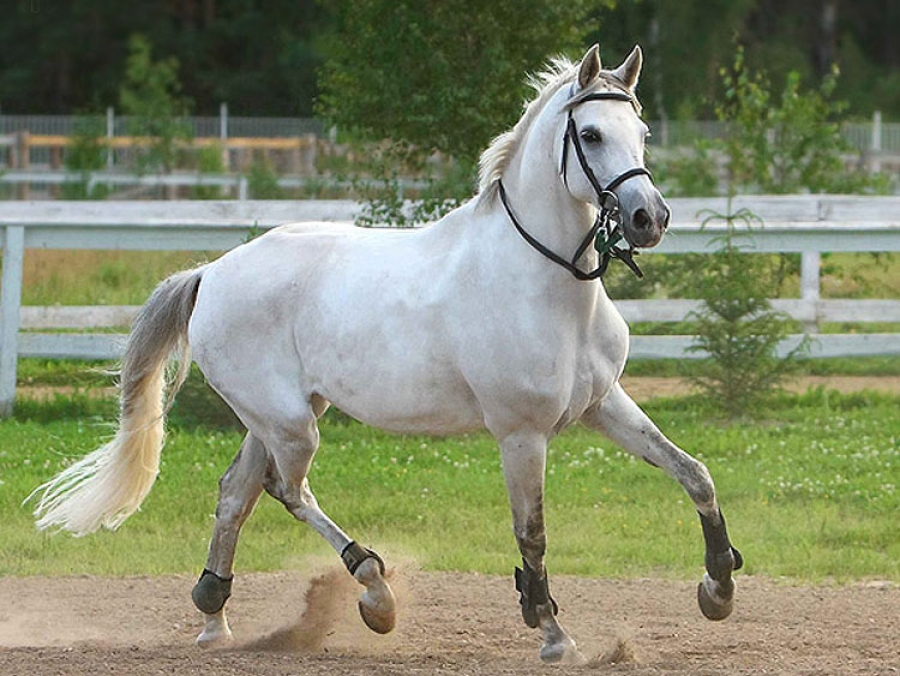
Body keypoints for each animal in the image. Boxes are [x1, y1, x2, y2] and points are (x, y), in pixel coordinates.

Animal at [33, 45, 740, 664]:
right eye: (589, 135)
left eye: (642, 132)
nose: (650, 218)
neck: (548, 285)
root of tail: (212, 273)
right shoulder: (521, 434)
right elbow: (532, 534)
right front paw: (552, 635)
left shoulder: (604, 406)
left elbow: (695, 473)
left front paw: (718, 589)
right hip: (291, 423)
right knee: (285, 489)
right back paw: (374, 591)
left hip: (276, 417)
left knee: (237, 492)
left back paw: (215, 619)